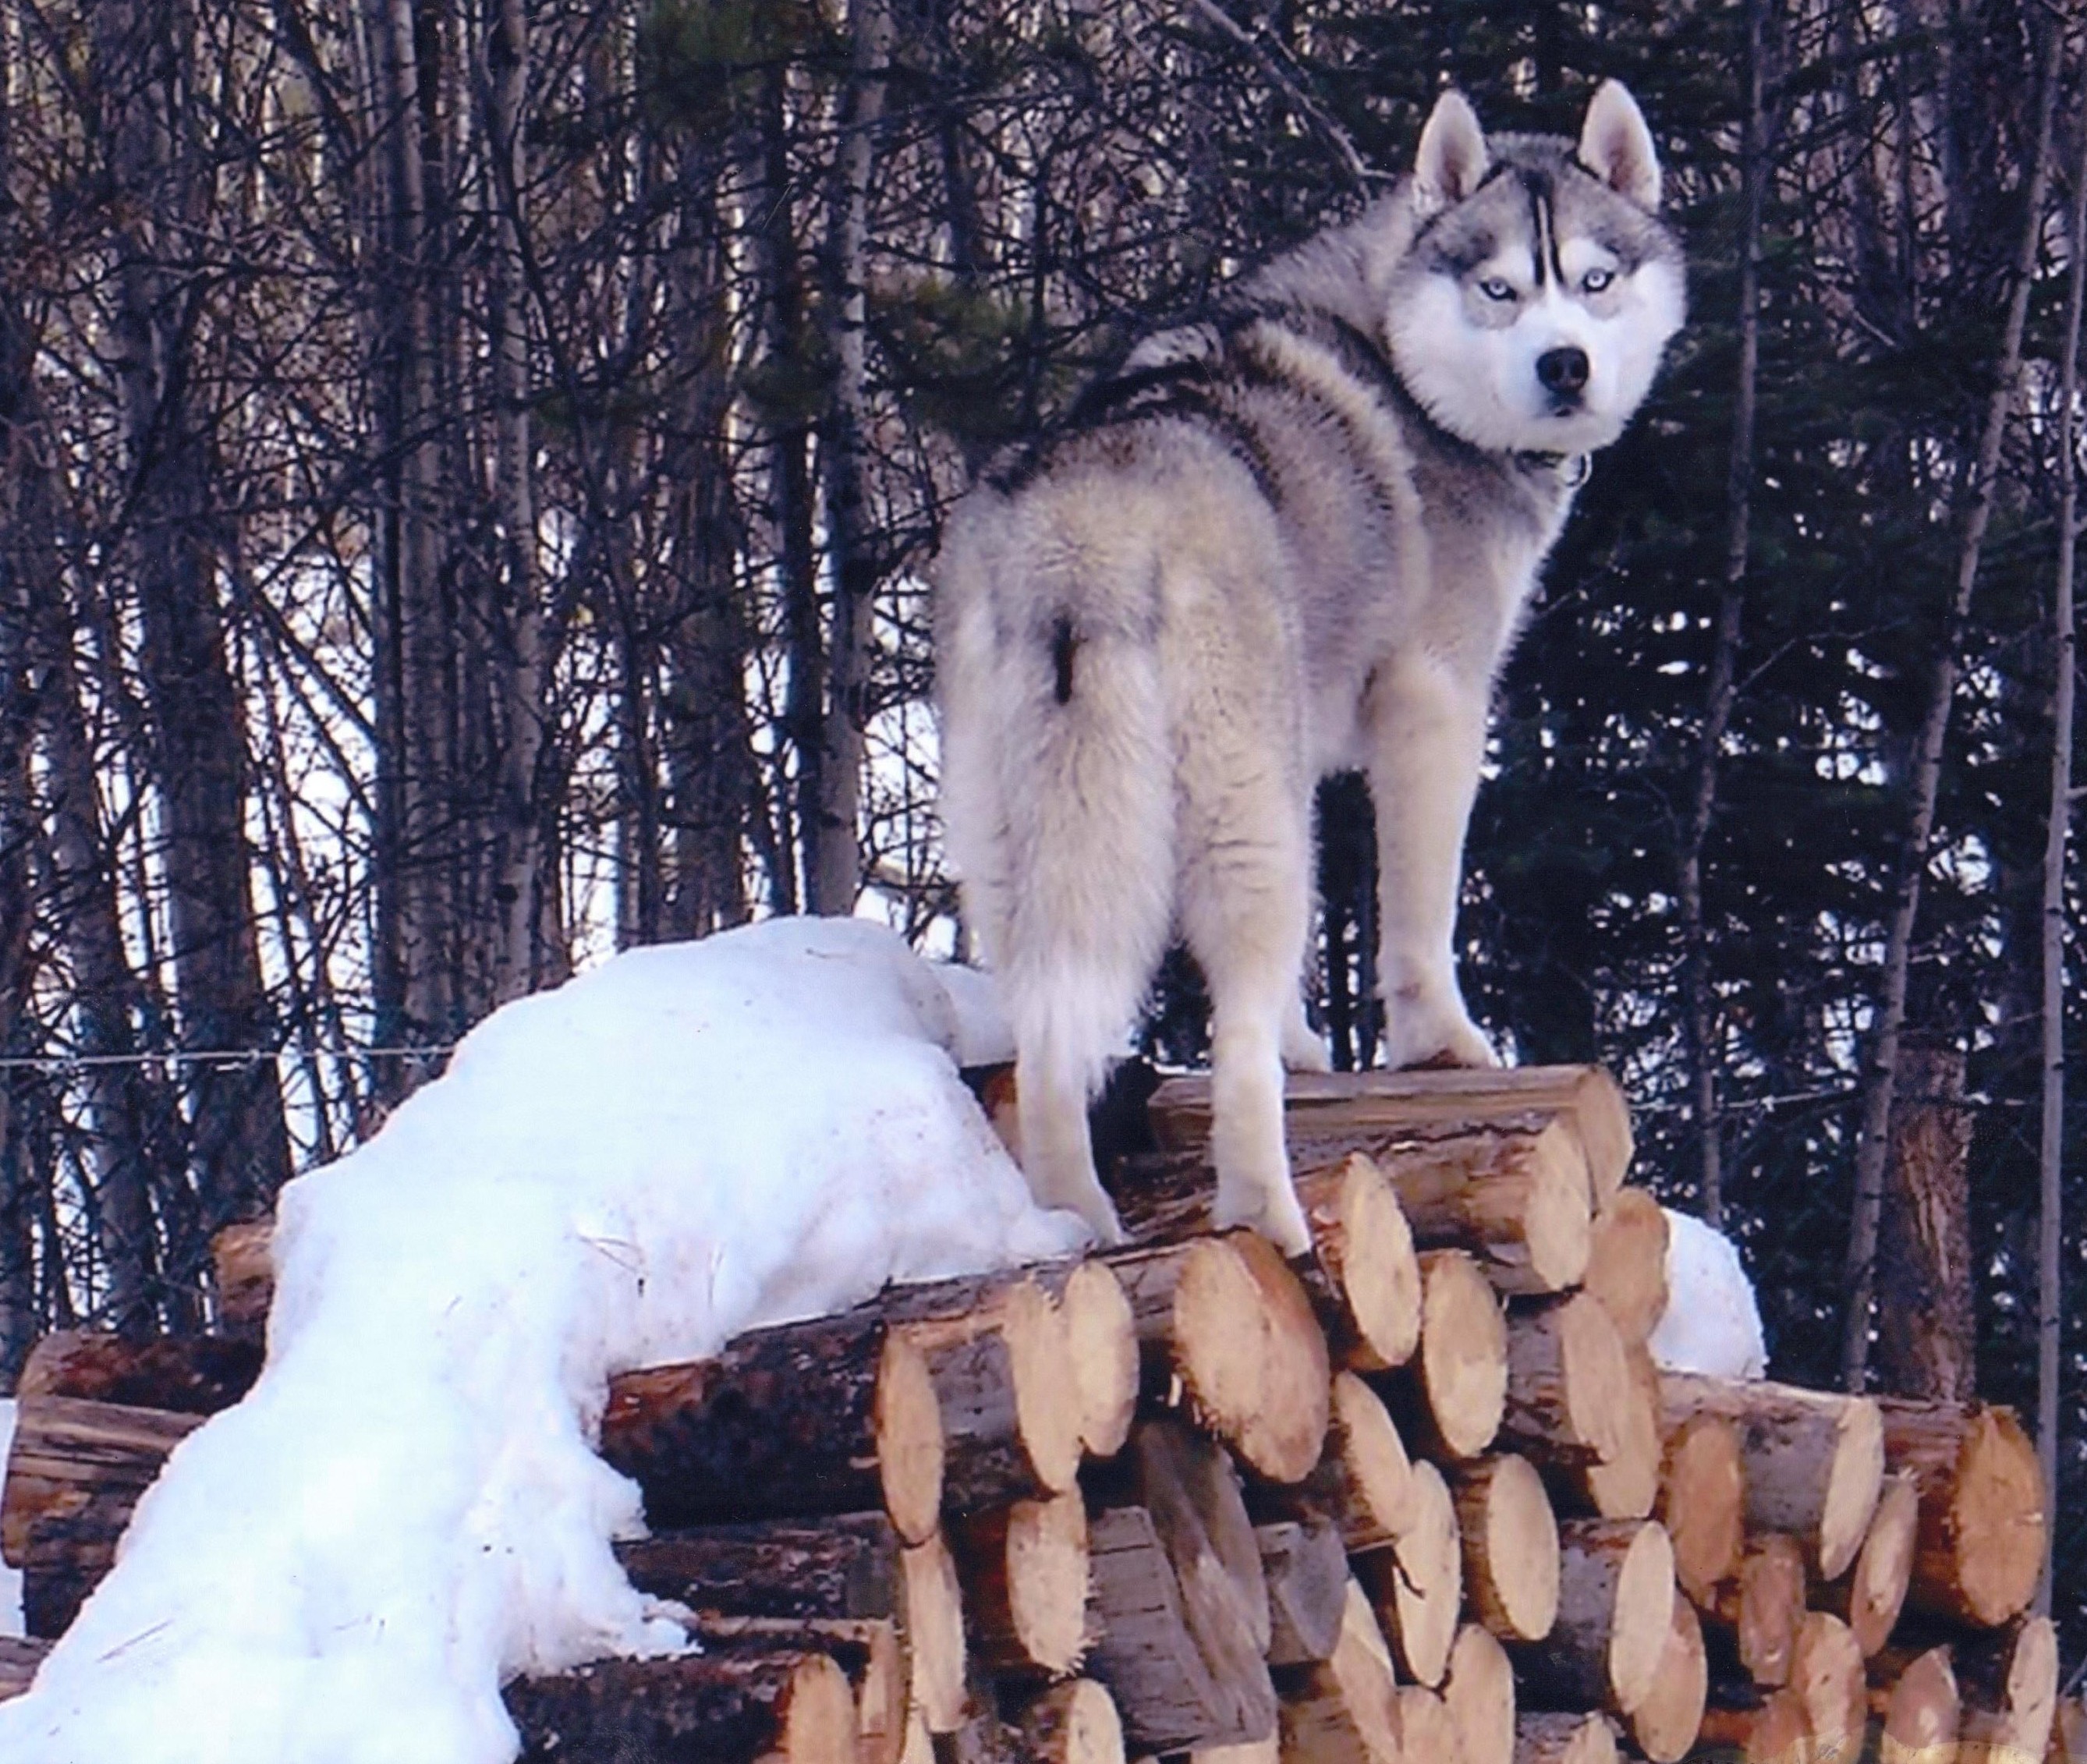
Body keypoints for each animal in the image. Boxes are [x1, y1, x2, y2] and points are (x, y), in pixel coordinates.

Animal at [939, 79, 1686, 1235]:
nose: (1565, 364)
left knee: (1052, 1040)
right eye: (1500, 289)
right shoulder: (1435, 707)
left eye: (1596, 280)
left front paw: (1314, 1052)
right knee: (1233, 1044)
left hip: (1024, 849)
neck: (1405, 365)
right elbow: (1418, 924)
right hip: (1238, 828)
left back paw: (1077, 1227)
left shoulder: (1297, 761)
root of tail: (1084, 526)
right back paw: (1274, 1229)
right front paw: (1445, 1049)